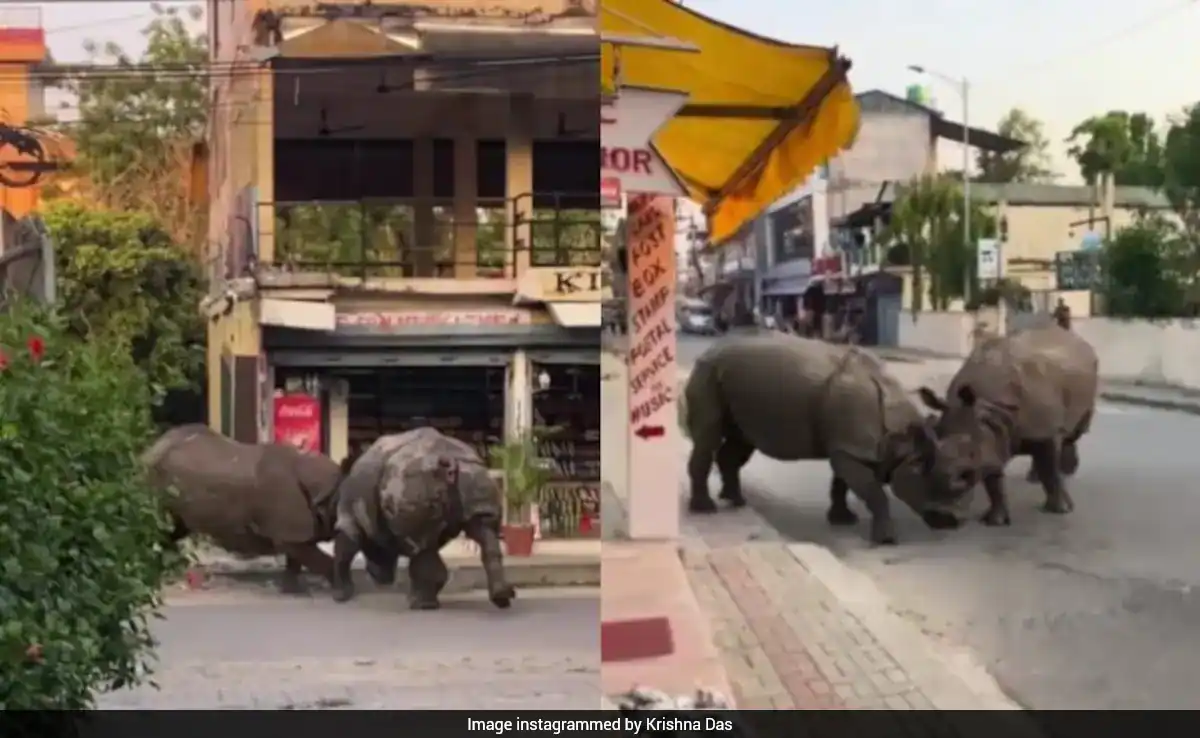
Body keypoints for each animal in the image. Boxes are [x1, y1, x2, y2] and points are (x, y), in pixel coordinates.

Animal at [142, 424, 344, 594]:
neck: (321, 486)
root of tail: (153, 447)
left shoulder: (294, 531)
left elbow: (295, 560)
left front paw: (292, 591)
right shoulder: (290, 530)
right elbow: (314, 558)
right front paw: (342, 589)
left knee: (174, 529)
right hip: (156, 474)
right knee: (160, 525)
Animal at [332, 427, 516, 610]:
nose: (378, 577)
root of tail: (449, 460)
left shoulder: (350, 516)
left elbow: (344, 549)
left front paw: (341, 596)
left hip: (413, 481)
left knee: (422, 546)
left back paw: (420, 604)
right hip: (473, 472)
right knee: (482, 527)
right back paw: (502, 597)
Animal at [682, 335, 954, 545]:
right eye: (925, 480)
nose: (949, 521)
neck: (900, 436)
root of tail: (709, 350)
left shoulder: (848, 447)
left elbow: (841, 484)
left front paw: (843, 520)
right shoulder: (849, 449)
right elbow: (874, 493)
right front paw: (887, 540)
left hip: (732, 382)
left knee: (742, 440)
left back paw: (735, 500)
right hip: (708, 372)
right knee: (708, 437)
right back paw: (706, 509)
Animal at [916, 324, 1099, 526]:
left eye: (967, 474)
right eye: (926, 463)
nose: (939, 518)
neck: (989, 407)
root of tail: (1075, 338)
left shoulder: (1042, 432)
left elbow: (1049, 470)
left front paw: (1061, 510)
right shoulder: (990, 431)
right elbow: (993, 477)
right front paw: (996, 520)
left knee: (1073, 433)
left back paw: (1065, 471)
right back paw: (1034, 478)